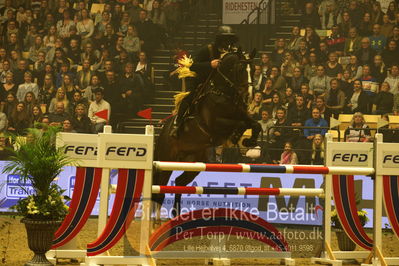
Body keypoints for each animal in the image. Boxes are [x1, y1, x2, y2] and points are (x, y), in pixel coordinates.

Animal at [152, 50, 260, 218]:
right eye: (241, 69)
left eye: (254, 69)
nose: (249, 95)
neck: (223, 92)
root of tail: (161, 133)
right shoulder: (215, 125)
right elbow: (240, 124)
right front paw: (237, 137)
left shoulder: (242, 115)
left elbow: (255, 124)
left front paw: (248, 140)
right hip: (166, 161)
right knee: (160, 190)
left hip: (195, 162)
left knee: (179, 183)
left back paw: (176, 214)